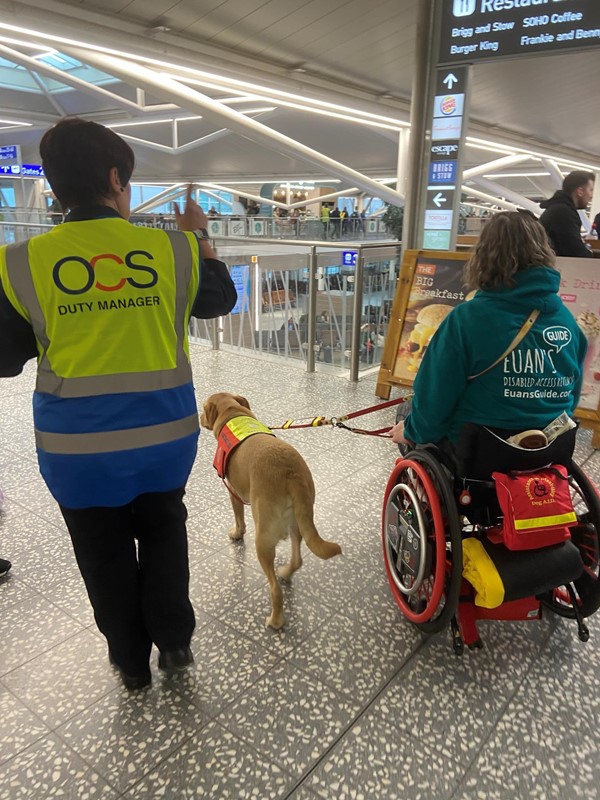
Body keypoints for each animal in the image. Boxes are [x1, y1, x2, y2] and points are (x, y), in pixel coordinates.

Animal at [202, 394, 342, 632]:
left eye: (202, 409)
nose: (200, 418)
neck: (232, 413)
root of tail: (291, 474)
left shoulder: (233, 491)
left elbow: (239, 518)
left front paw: (237, 533)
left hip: (263, 540)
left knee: (275, 589)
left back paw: (276, 620)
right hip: (299, 523)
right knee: (297, 560)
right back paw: (286, 572)